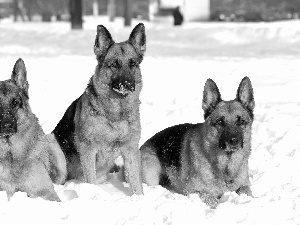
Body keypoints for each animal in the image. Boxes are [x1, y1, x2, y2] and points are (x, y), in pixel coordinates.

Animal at [53, 23, 147, 195]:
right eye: (115, 64)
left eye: (132, 64)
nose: (129, 85)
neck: (116, 113)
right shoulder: (88, 150)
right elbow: (90, 180)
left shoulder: (130, 150)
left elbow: (137, 183)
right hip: (54, 146)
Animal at [142, 77, 254, 207]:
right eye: (220, 122)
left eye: (241, 121)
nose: (233, 141)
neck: (225, 166)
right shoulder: (193, 191)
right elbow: (211, 199)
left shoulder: (244, 185)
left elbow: (246, 191)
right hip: (151, 176)